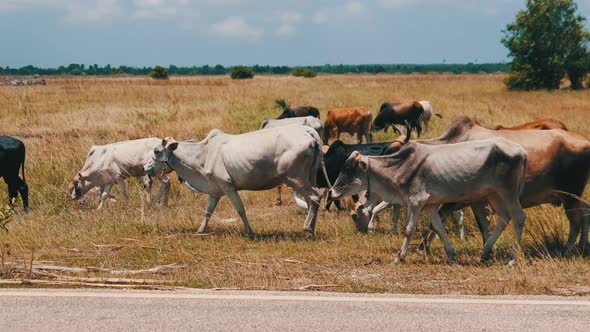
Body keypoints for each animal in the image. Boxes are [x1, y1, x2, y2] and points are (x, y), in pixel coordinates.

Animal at [143, 124, 328, 236]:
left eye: (157, 151)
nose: (145, 168)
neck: (203, 155)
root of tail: (307, 131)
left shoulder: (228, 186)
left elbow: (240, 210)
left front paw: (250, 232)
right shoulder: (215, 190)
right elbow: (208, 212)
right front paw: (200, 230)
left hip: (296, 178)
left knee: (314, 197)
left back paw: (308, 229)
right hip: (308, 176)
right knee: (312, 201)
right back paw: (311, 229)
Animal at [330, 137, 528, 264]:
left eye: (348, 169)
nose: (331, 191)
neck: (400, 167)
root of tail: (521, 150)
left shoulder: (416, 203)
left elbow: (409, 230)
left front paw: (399, 257)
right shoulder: (430, 206)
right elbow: (439, 228)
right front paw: (451, 256)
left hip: (508, 191)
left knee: (518, 217)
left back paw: (513, 259)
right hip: (494, 194)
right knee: (504, 217)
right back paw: (485, 253)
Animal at [428, 116, 590, 249]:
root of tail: (585, 141)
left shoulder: (454, 201)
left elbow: (435, 223)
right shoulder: (475, 202)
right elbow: (482, 225)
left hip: (570, 195)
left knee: (575, 221)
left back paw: (569, 249)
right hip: (571, 196)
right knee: (586, 212)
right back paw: (582, 245)